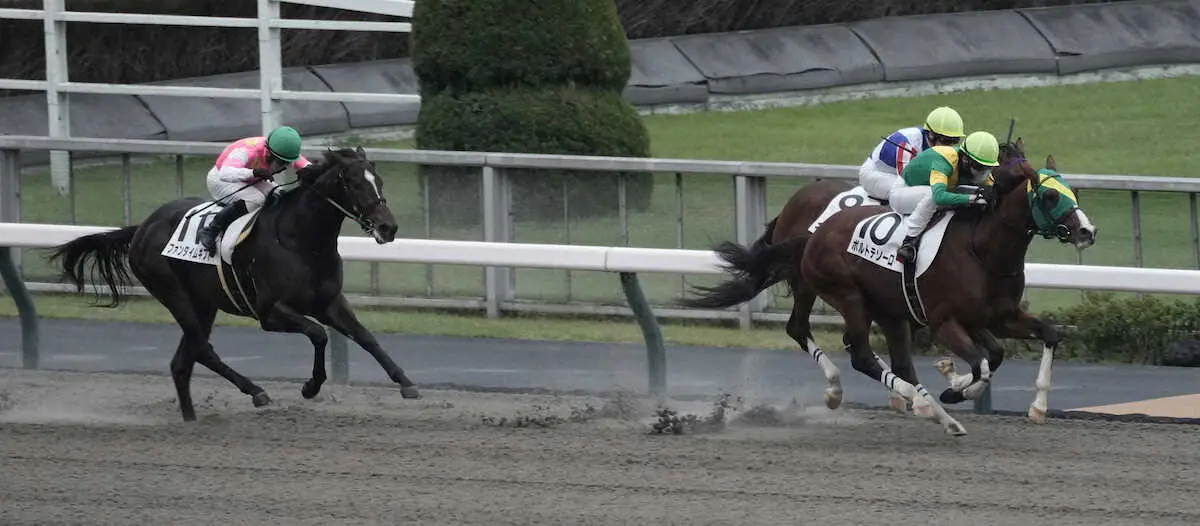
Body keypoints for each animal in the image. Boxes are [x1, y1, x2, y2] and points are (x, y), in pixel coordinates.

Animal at [46, 145, 422, 420]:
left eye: (380, 181)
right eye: (355, 184)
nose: (388, 228)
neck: (300, 241)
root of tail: (141, 227)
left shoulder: (329, 302)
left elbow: (366, 337)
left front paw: (406, 383)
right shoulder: (270, 313)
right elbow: (317, 334)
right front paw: (310, 387)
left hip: (203, 303)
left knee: (183, 361)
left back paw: (191, 417)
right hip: (174, 294)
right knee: (202, 349)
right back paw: (255, 391)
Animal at [796, 136, 1099, 434]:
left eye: (1073, 193)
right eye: (1050, 196)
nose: (1088, 231)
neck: (983, 251)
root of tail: (819, 230)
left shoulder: (999, 317)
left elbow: (1039, 338)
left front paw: (1036, 406)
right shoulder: (944, 323)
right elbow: (981, 365)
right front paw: (956, 389)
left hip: (889, 311)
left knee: (899, 363)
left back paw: (942, 417)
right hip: (849, 296)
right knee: (862, 355)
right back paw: (910, 399)